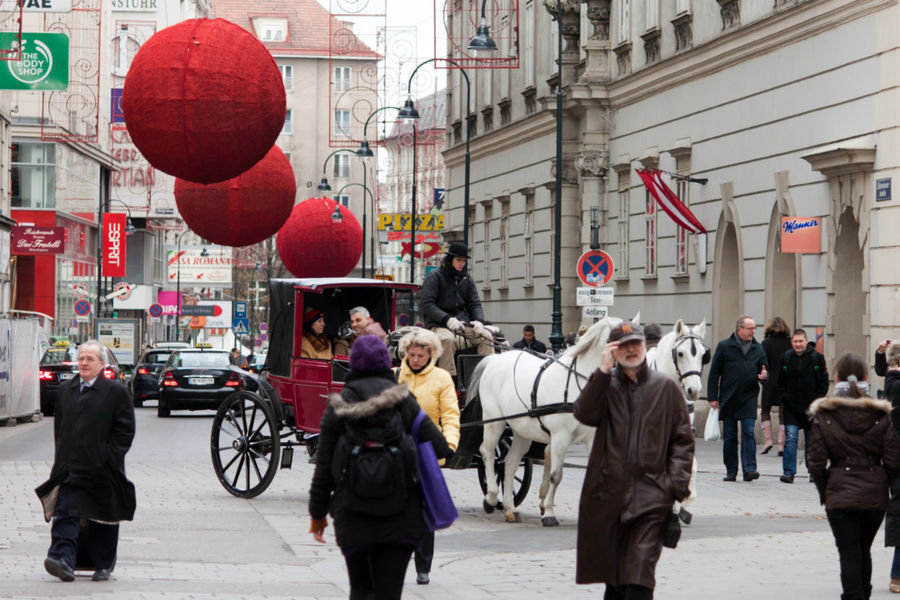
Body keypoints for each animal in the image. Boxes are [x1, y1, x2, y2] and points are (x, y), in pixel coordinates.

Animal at [468, 314, 624, 524]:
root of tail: (496, 358)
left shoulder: (593, 436)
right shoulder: (560, 437)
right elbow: (555, 475)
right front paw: (548, 512)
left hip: (521, 430)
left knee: (509, 462)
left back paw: (509, 508)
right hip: (494, 421)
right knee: (488, 453)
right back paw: (491, 497)